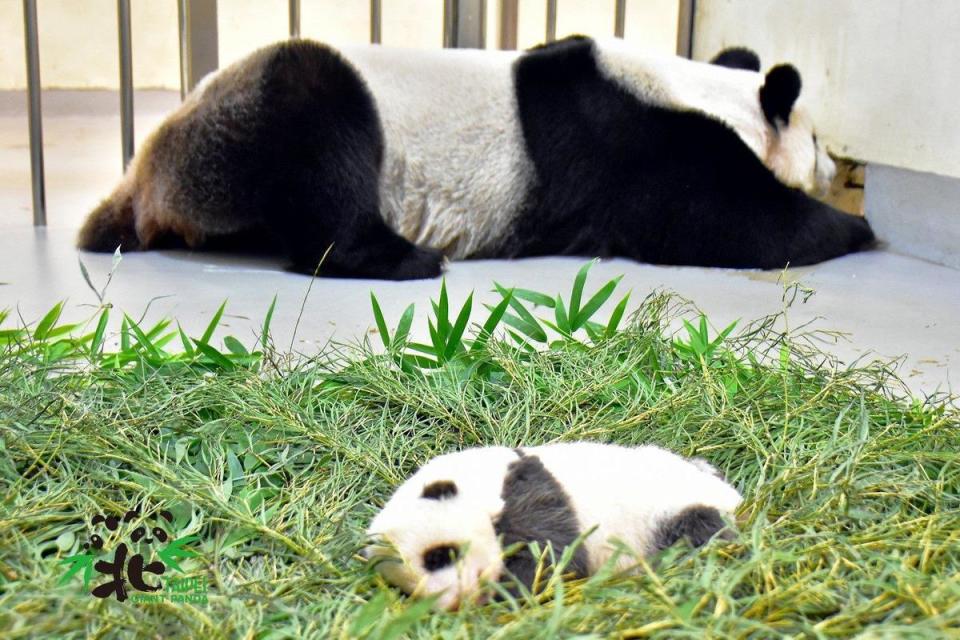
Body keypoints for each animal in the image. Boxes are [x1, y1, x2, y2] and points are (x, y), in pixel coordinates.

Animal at [80, 35, 876, 280]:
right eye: (818, 143)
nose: (834, 169)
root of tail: (144, 177)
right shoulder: (639, 144)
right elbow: (728, 224)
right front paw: (855, 227)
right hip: (243, 127)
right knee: (321, 141)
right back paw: (401, 258)